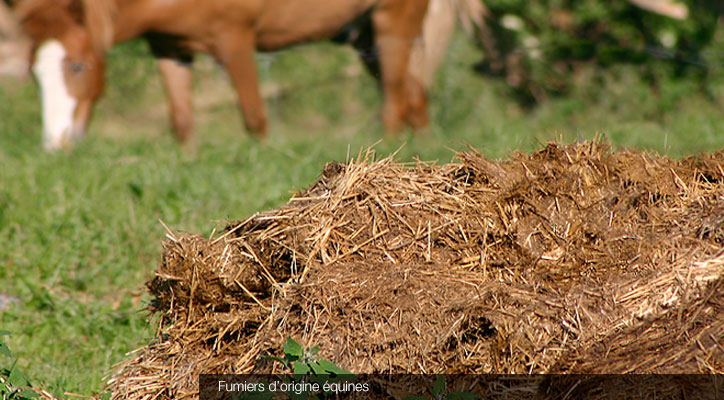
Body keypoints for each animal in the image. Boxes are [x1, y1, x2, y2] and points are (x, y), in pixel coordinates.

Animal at [7, 0, 430, 150]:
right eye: (35, 74)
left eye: (77, 66)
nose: (55, 143)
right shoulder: (170, 48)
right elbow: (181, 120)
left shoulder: (235, 38)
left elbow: (255, 118)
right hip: (363, 35)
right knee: (416, 96)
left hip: (393, 21)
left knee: (394, 101)